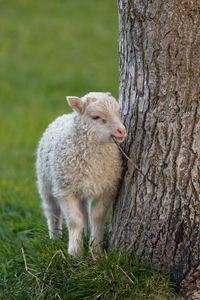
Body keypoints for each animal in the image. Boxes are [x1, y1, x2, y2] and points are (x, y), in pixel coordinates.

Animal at [35, 92, 126, 255]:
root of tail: (64, 115)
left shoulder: (109, 188)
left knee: (84, 211)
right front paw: (75, 252)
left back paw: (85, 234)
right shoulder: (65, 190)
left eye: (118, 113)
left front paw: (96, 250)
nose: (122, 131)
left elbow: (97, 216)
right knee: (52, 211)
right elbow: (74, 220)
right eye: (96, 117)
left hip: (82, 187)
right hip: (45, 182)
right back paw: (54, 237)